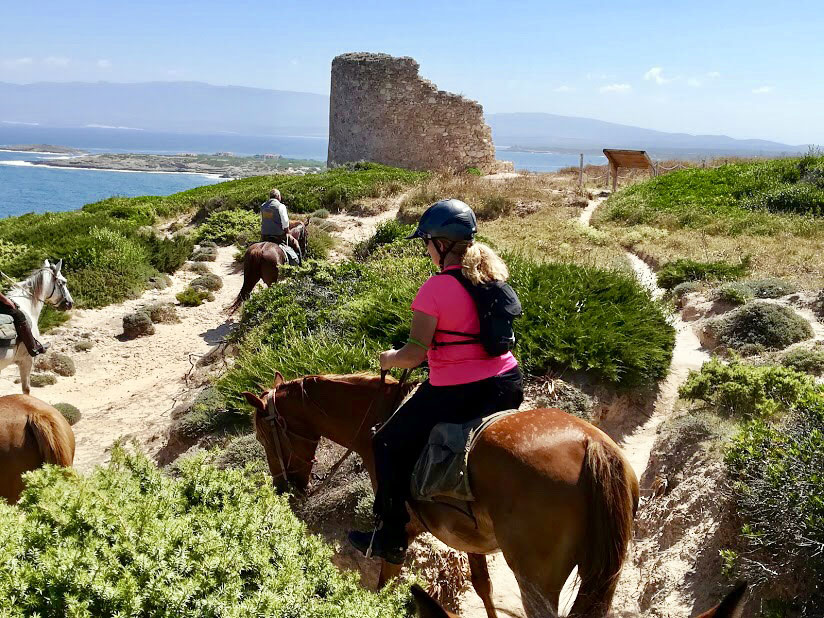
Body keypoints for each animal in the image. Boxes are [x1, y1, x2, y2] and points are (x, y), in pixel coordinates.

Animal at [241, 370, 640, 616]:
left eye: (263, 435)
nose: (283, 488)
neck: (382, 418)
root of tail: (591, 444)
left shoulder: (398, 532)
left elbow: (385, 582)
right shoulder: (470, 539)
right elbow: (482, 586)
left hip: (536, 580)